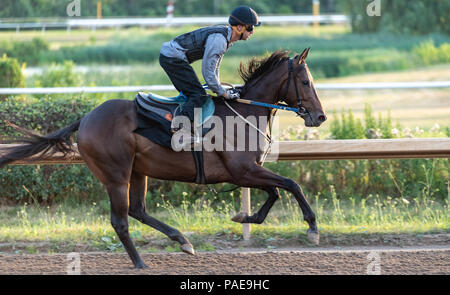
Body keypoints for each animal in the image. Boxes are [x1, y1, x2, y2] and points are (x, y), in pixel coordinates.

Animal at [0, 49, 326, 270]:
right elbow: (291, 184)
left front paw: (244, 217)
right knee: (120, 220)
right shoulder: (242, 171)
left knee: (138, 210)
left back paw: (182, 241)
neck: (245, 112)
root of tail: (86, 118)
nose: (320, 117)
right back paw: (140, 262)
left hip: (137, 171)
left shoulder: (247, 172)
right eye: (306, 82)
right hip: (116, 174)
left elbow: (275, 192)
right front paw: (312, 228)